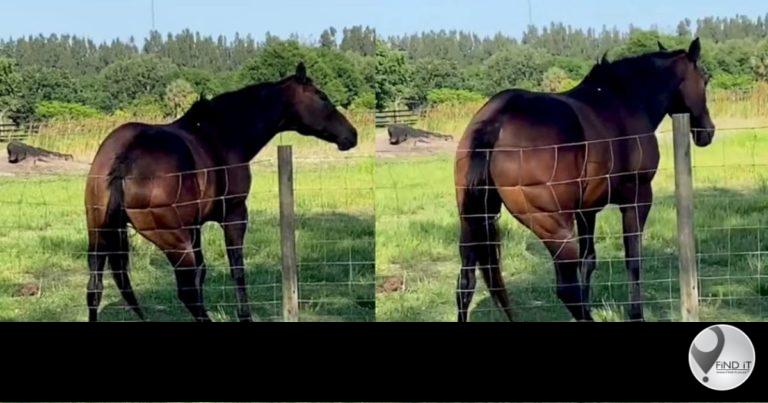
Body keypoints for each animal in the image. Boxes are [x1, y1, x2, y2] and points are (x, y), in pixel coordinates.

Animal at [85, 63, 358, 322]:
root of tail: (126, 157)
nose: (352, 135)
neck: (220, 135)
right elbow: (237, 269)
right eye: (321, 96)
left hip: (99, 235)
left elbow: (203, 272)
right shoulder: (235, 216)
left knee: (94, 289)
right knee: (186, 292)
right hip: (174, 243)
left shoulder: (195, 227)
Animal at [454, 38, 715, 322]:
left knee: (465, 285)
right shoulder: (637, 198)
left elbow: (588, 260)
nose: (707, 131)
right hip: (555, 229)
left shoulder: (587, 210)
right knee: (567, 289)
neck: (625, 100)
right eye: (705, 78)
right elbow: (633, 258)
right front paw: (636, 313)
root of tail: (497, 121)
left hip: (472, 221)